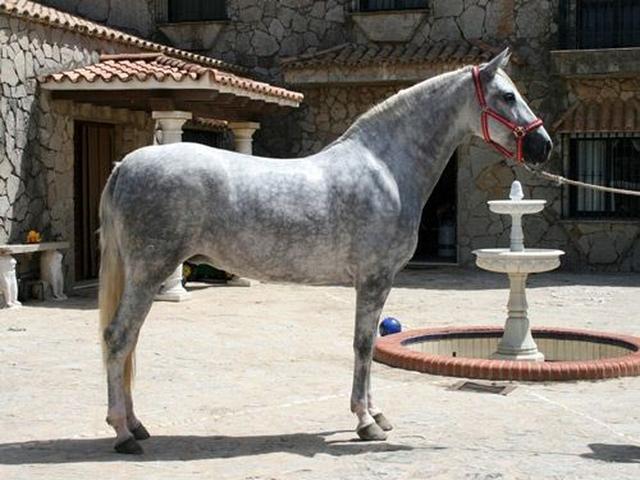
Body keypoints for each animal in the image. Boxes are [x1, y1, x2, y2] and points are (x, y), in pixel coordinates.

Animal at [98, 48, 552, 454]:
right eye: (507, 96)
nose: (543, 146)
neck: (385, 169)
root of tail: (126, 166)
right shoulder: (374, 280)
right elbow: (363, 345)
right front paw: (366, 423)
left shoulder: (378, 283)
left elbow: (368, 344)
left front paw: (376, 414)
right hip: (149, 271)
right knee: (119, 338)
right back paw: (123, 433)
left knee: (129, 341)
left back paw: (136, 426)